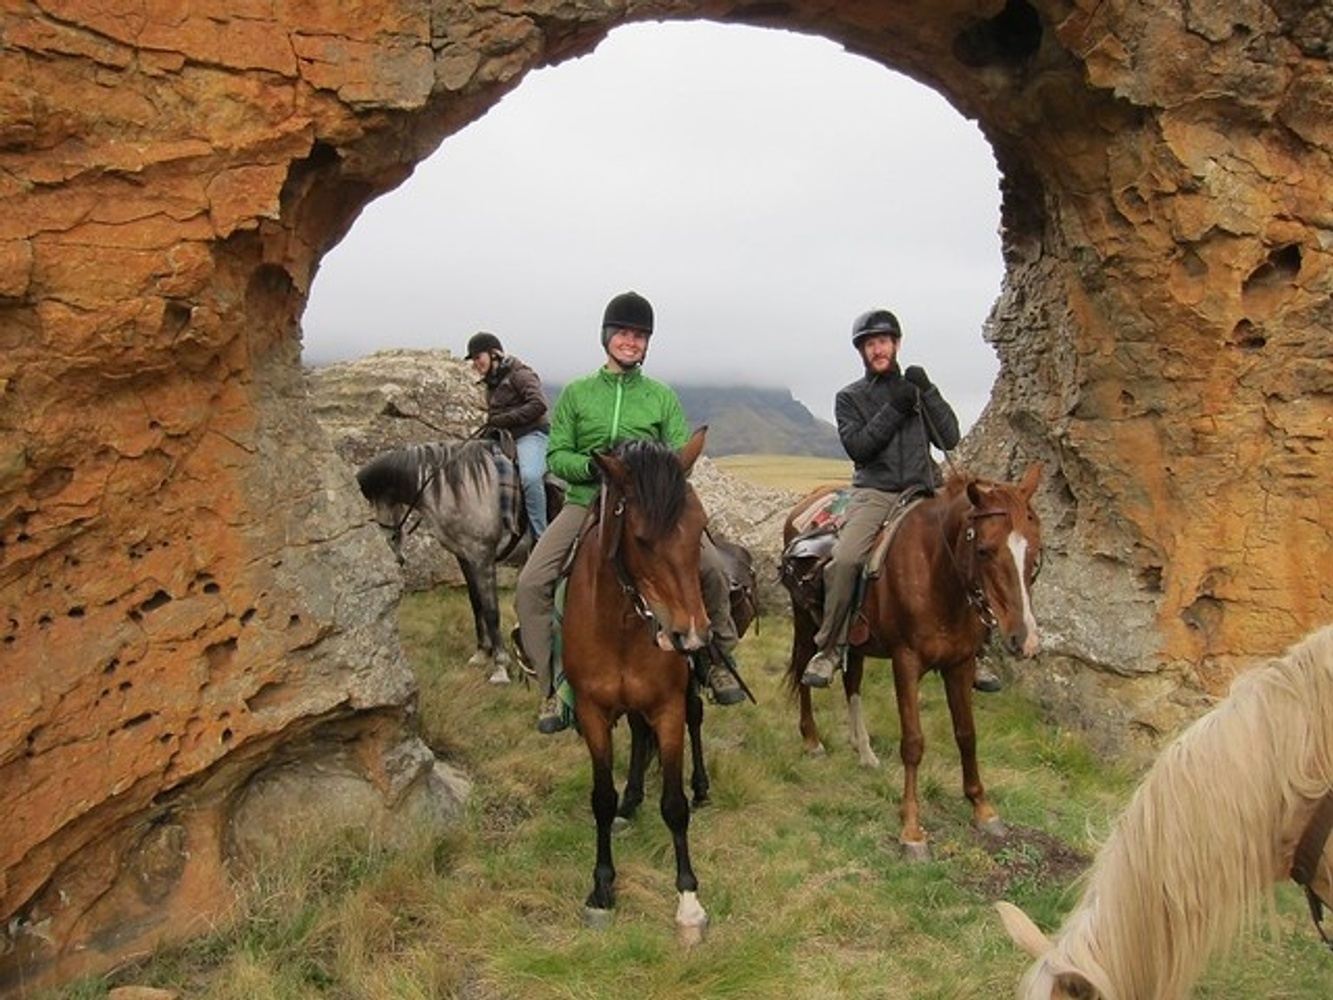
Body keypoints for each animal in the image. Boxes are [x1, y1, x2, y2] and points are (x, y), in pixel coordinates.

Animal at [355, 439, 524, 684]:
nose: (395, 556)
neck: (456, 488)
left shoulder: (482, 556)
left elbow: (491, 610)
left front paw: (500, 666)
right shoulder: (465, 557)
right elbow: (477, 603)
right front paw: (482, 653)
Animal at [562, 428, 714, 945]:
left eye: (702, 527)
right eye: (642, 539)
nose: (693, 636)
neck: (624, 624)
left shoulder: (667, 706)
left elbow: (675, 805)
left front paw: (688, 900)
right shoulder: (592, 711)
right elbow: (601, 799)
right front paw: (601, 889)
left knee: (695, 721)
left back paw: (702, 786)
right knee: (636, 737)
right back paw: (631, 800)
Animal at [781, 463, 1043, 858]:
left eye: (1035, 553)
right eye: (984, 550)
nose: (1025, 640)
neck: (937, 571)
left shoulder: (960, 664)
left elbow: (967, 734)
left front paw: (982, 808)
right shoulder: (905, 661)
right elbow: (913, 743)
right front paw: (912, 831)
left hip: (856, 640)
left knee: (852, 682)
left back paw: (864, 750)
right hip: (804, 620)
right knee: (802, 671)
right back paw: (812, 739)